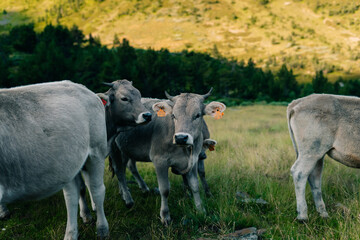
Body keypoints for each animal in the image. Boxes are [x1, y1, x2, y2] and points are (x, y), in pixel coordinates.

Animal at [109, 89, 225, 224]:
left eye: (197, 115)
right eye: (173, 115)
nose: (181, 138)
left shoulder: (193, 161)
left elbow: (195, 185)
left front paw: (201, 210)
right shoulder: (160, 161)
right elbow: (164, 189)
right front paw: (165, 216)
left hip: (126, 149)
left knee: (127, 167)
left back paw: (133, 190)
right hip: (113, 148)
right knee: (119, 171)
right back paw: (128, 199)